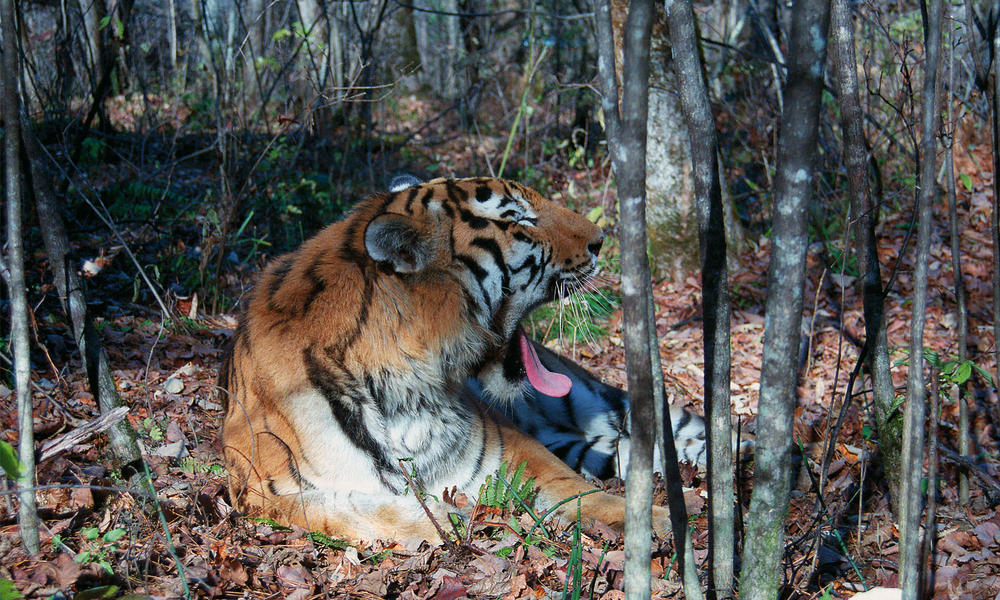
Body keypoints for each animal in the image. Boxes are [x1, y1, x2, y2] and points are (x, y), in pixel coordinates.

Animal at [219, 176, 680, 548]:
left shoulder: (509, 445)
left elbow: (577, 489)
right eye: (519, 218)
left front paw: (662, 521)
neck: (404, 388)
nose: (602, 239)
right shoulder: (257, 486)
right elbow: (331, 510)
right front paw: (437, 520)